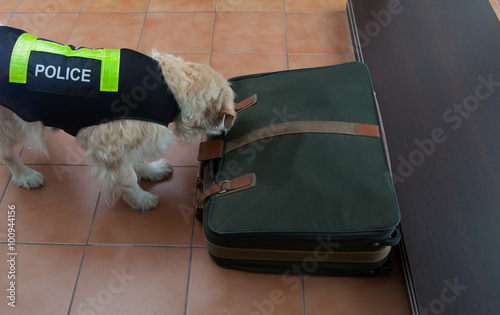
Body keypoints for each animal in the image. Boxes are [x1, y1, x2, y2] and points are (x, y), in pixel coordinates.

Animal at [0, 24, 236, 212]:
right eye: (225, 117)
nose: (227, 132)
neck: (169, 90)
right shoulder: (109, 147)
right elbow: (128, 179)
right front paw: (140, 200)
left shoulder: (131, 137)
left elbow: (136, 158)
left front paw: (150, 171)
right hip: (5, 122)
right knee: (8, 154)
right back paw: (25, 175)